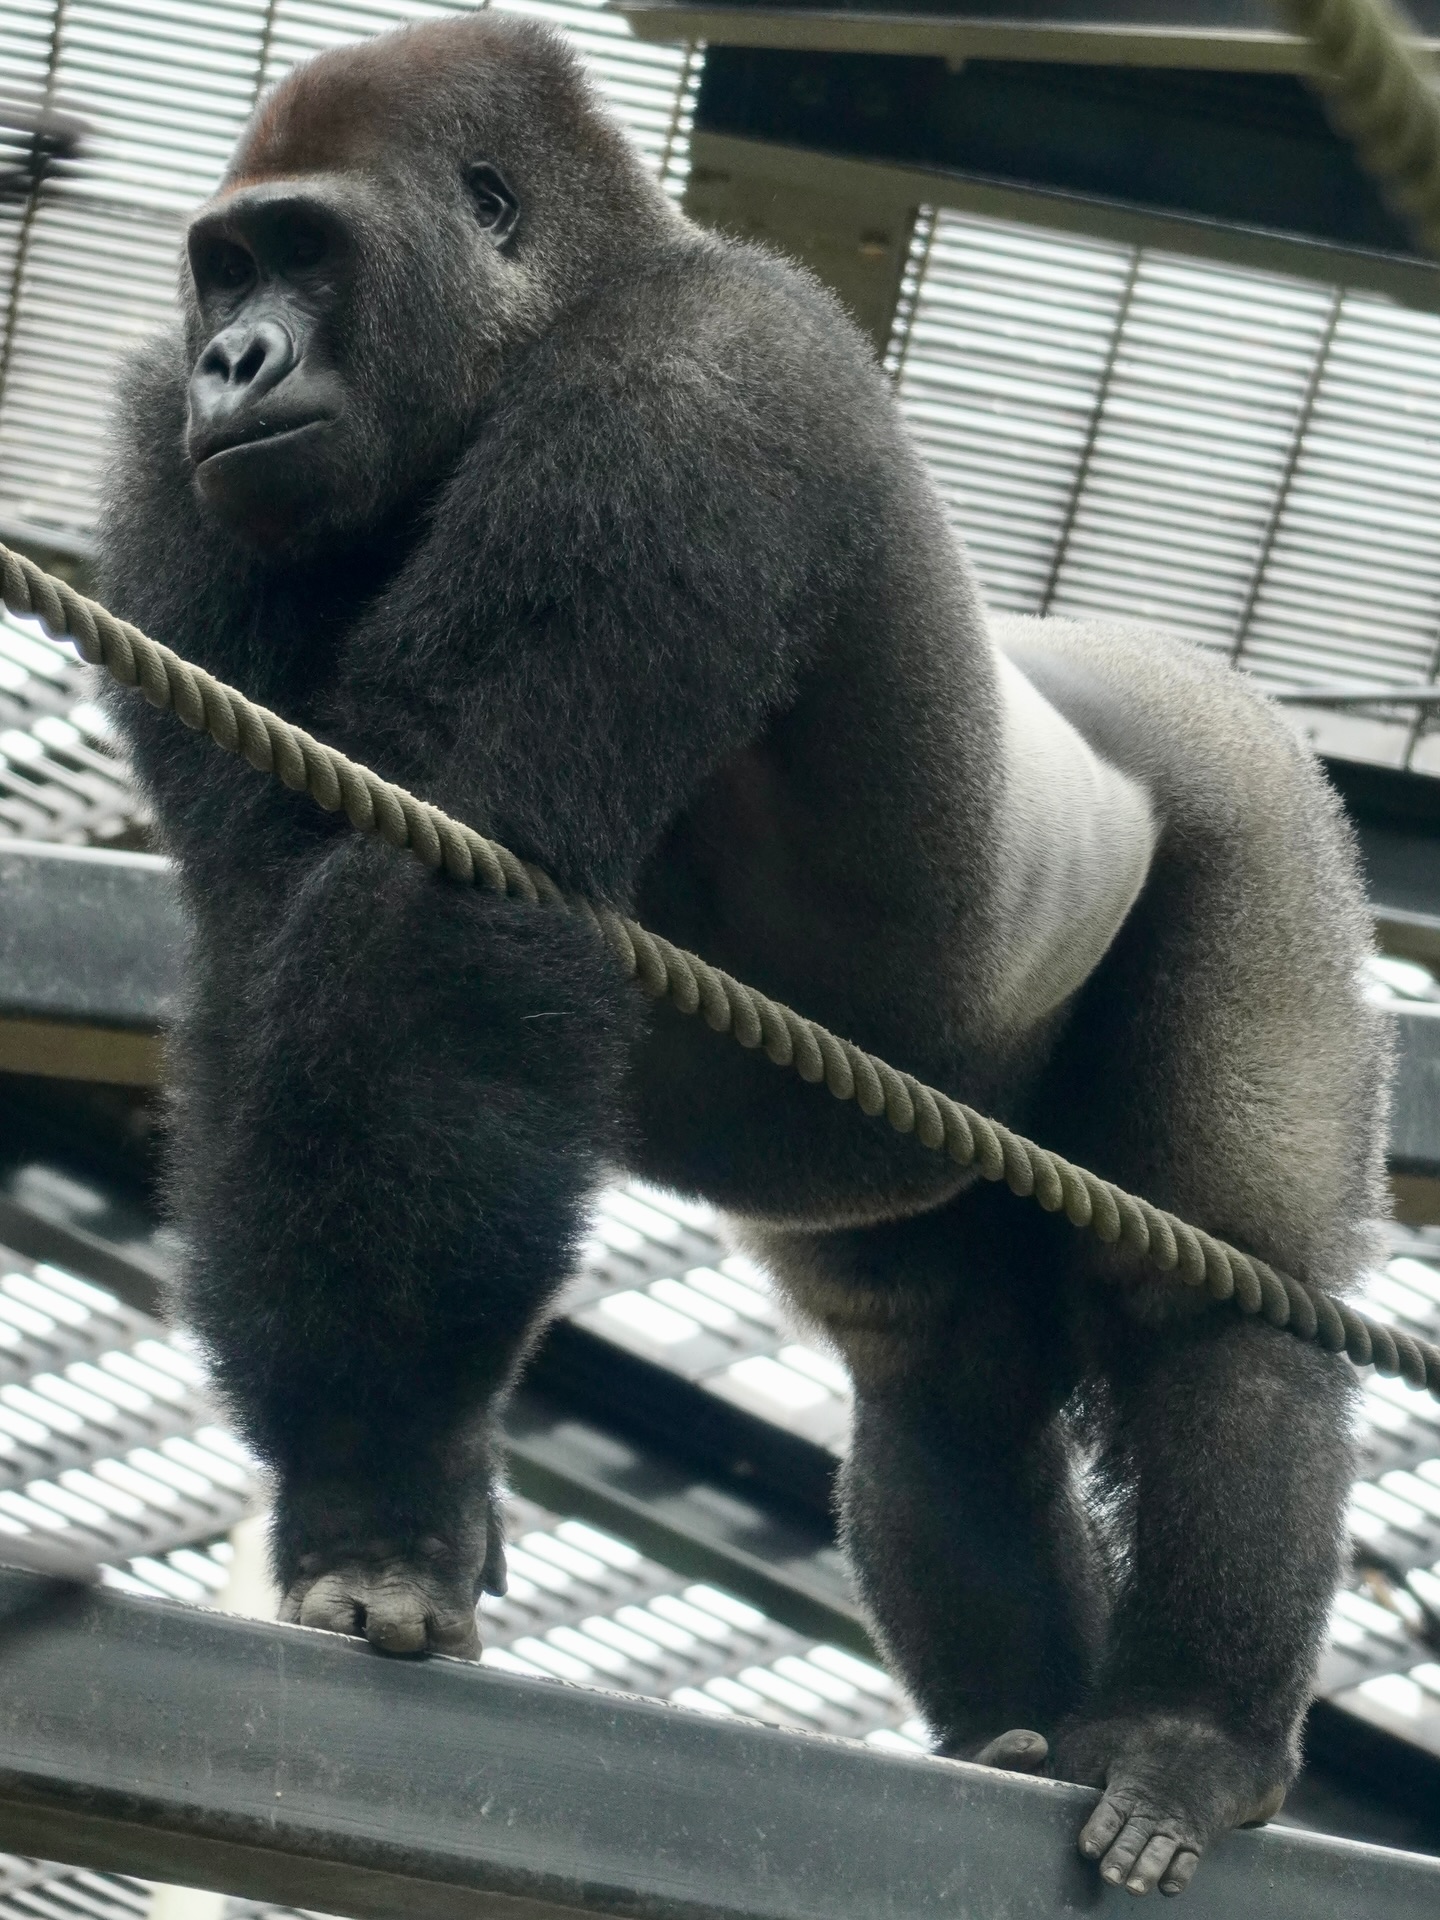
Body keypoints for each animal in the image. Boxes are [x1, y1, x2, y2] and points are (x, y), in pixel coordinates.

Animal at [93, 15, 1388, 1898]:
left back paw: (1187, 1736)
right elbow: (279, 935)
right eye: (223, 270)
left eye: (306, 255)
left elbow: (428, 895)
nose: (233, 362)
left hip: (1256, 793)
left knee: (1217, 1290)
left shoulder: (705, 382)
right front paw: (382, 1488)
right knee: (936, 1366)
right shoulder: (163, 459)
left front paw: (385, 1494)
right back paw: (1016, 1735)